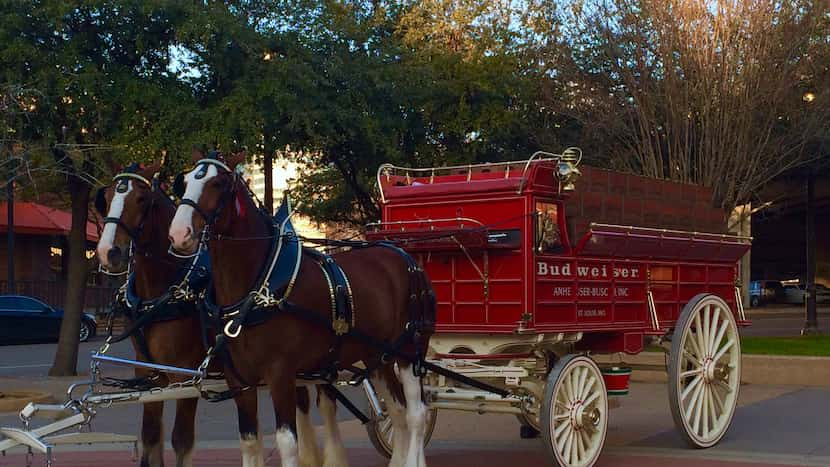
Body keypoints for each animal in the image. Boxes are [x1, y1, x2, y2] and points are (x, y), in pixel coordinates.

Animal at [95, 165, 206, 467]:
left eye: (142, 199)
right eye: (106, 198)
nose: (108, 252)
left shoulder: (185, 375)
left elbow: (182, 440)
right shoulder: (149, 373)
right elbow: (151, 436)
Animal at [165, 152, 432, 466]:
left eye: (217, 183)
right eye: (183, 183)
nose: (179, 234)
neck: (258, 288)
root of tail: (404, 256)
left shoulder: (281, 374)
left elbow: (286, 442)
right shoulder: (239, 381)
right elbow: (249, 441)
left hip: (410, 352)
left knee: (416, 414)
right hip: (377, 356)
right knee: (399, 412)